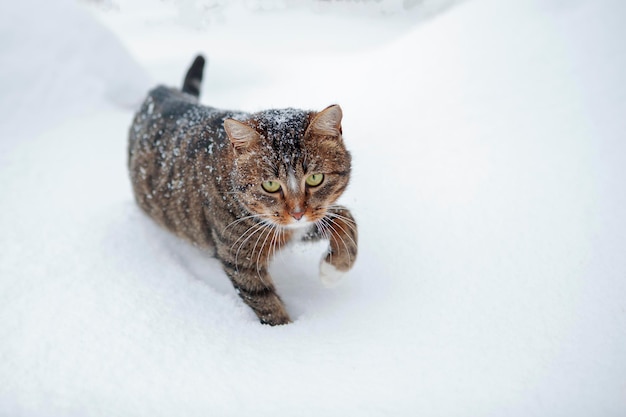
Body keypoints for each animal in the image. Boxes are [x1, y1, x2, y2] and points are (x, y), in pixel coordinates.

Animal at [127, 53, 356, 324]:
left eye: (315, 179)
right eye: (270, 185)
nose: (297, 213)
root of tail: (162, 90)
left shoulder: (302, 225)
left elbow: (346, 218)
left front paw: (334, 269)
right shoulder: (239, 254)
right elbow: (264, 300)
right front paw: (287, 332)